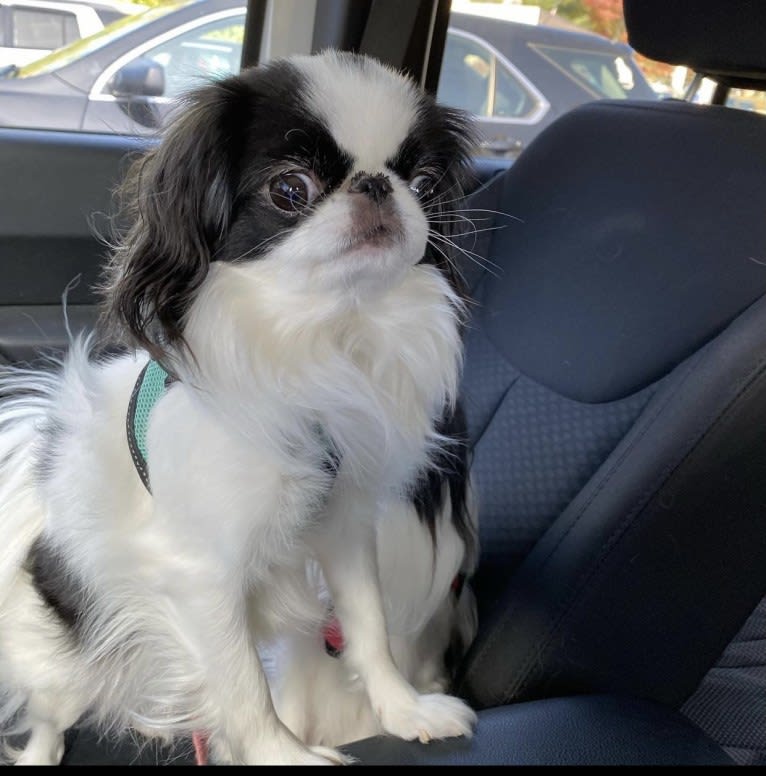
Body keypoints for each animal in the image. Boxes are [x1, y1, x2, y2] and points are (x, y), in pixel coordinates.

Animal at [0, 51, 480, 768]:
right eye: (290, 190)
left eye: (422, 184)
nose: (377, 186)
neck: (325, 338)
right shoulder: (205, 576)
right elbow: (244, 684)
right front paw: (286, 757)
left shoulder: (344, 530)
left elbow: (369, 631)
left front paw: (405, 710)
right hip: (65, 660)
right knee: (50, 719)